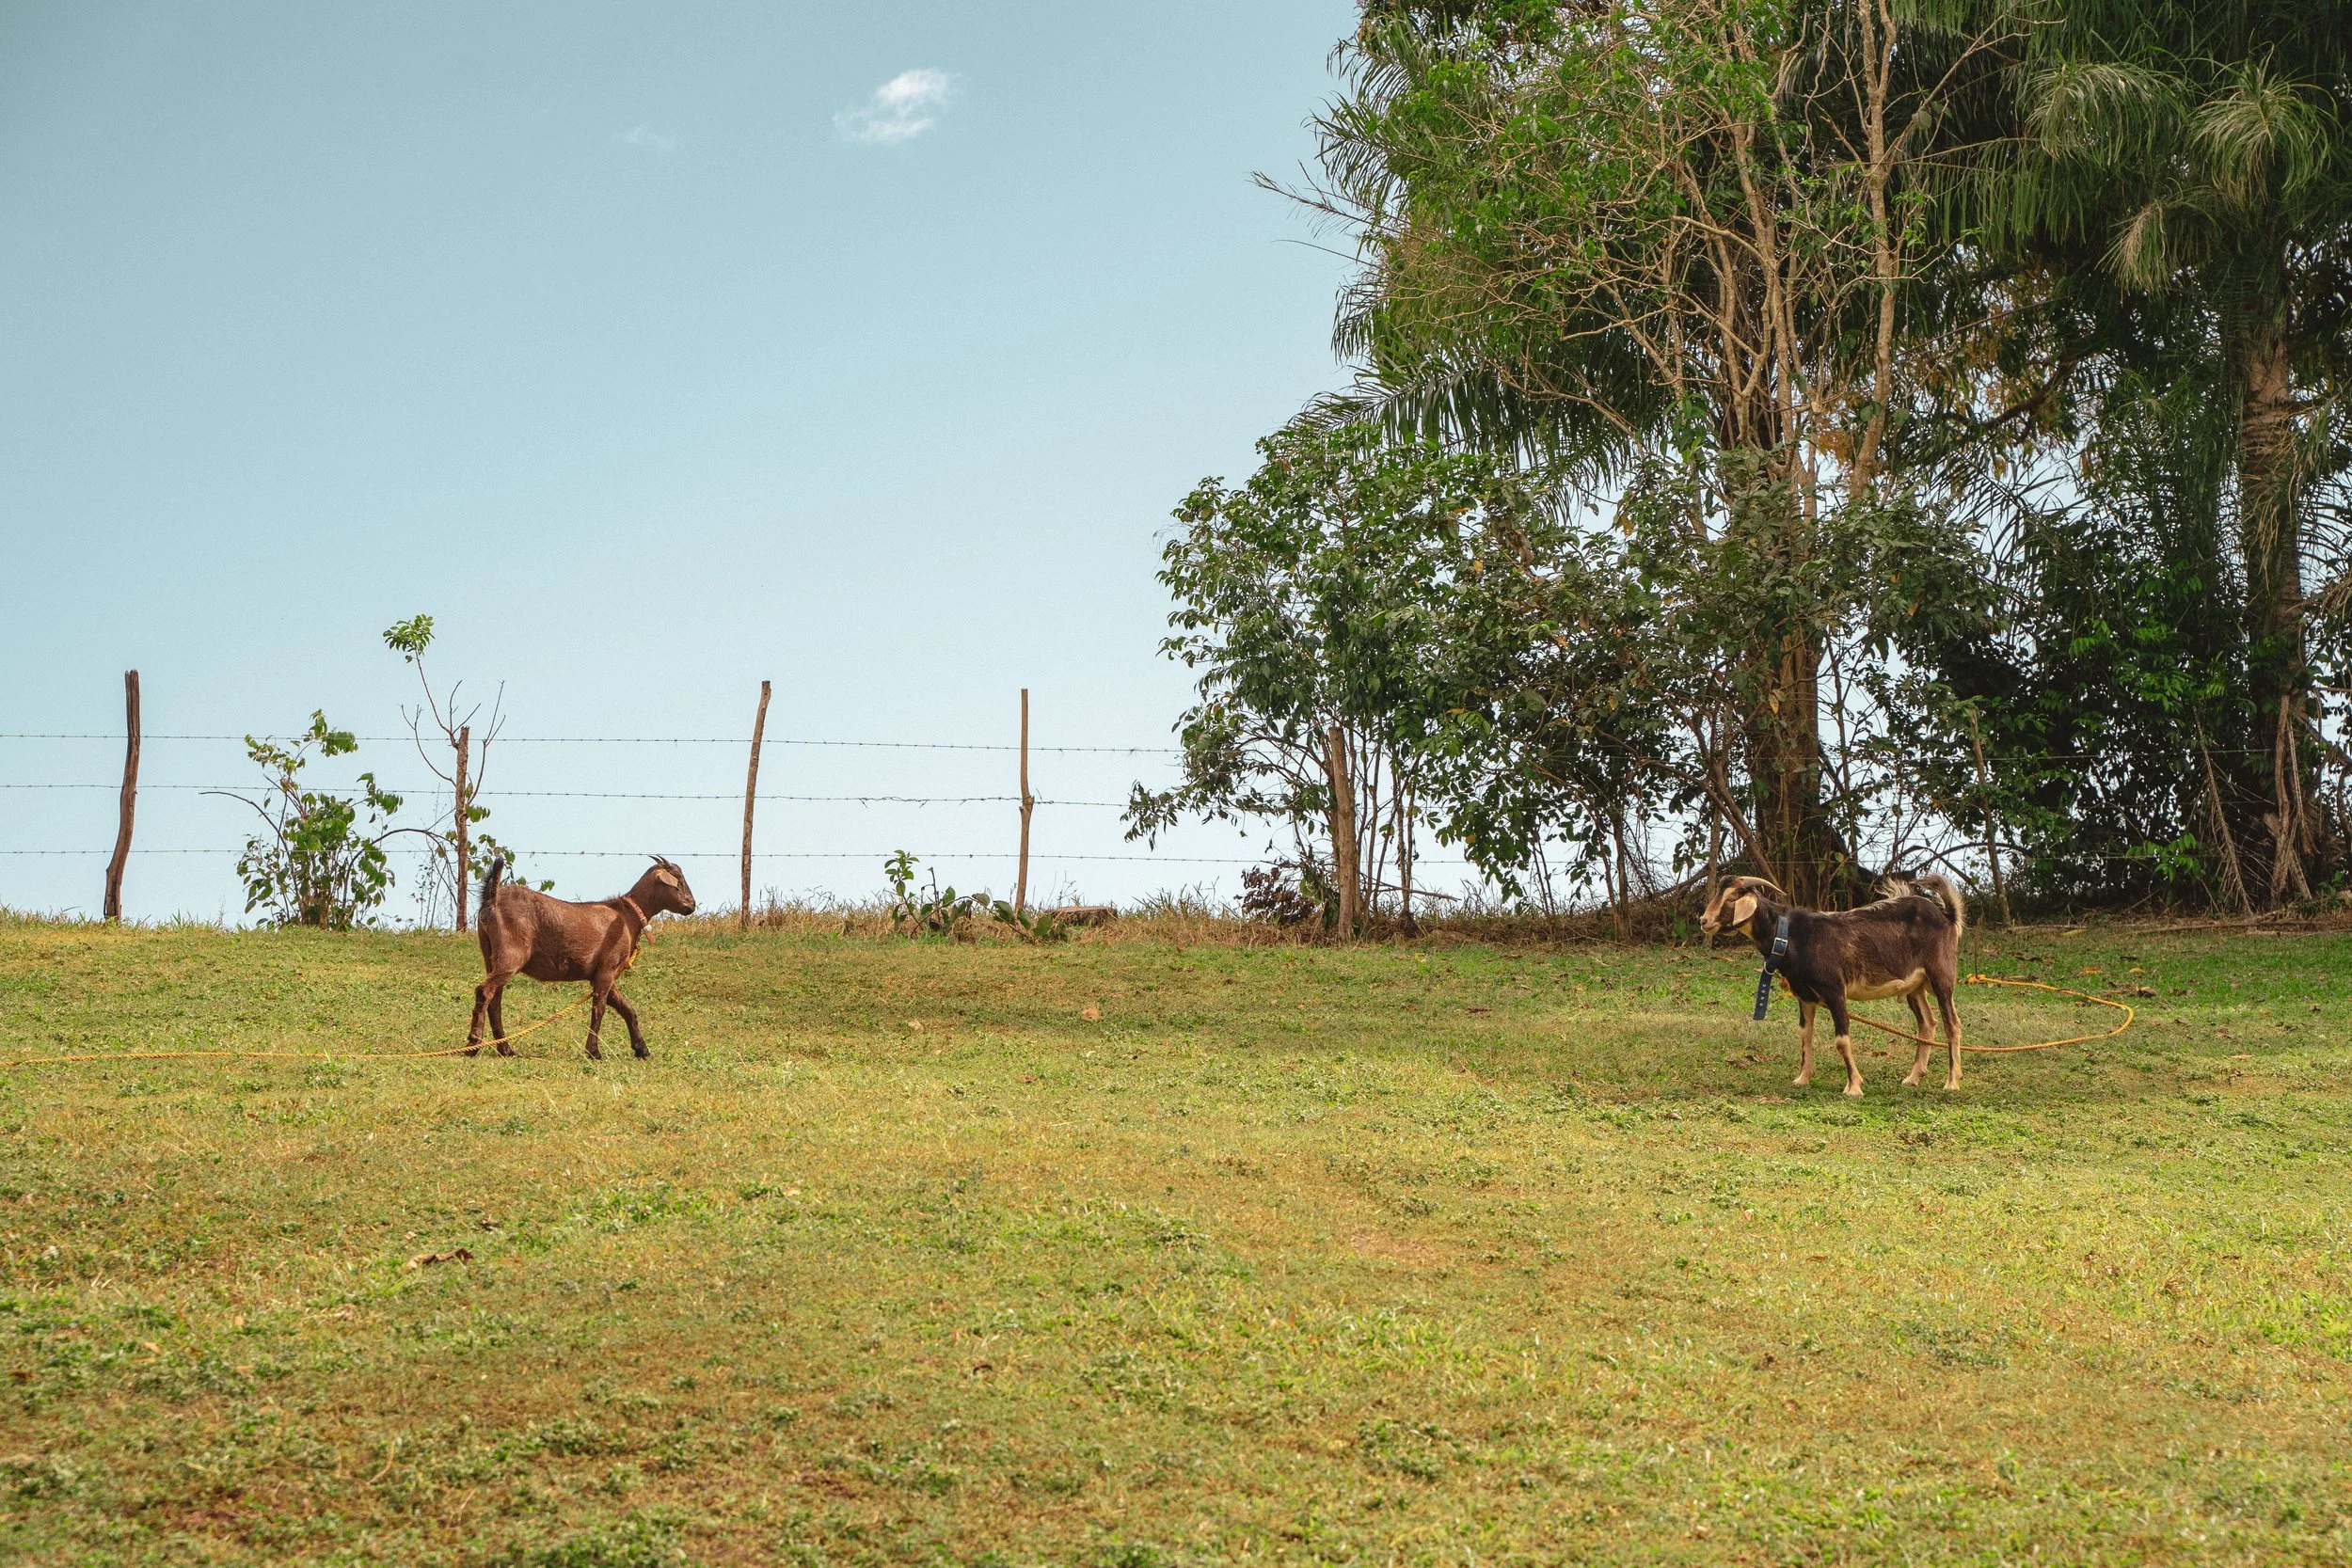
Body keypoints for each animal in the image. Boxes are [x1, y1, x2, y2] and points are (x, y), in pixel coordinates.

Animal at [466, 855, 696, 1060]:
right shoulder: (607, 970)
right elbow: (599, 1009)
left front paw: (642, 1050)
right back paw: (473, 1044)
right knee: (484, 992)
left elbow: (627, 1009)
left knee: (495, 1001)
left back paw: (505, 1049)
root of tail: (493, 898)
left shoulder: (604, 973)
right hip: (511, 955)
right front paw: (593, 1051)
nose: (691, 906)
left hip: (490, 955)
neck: (628, 915)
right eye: (679, 881)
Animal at [1700, 873, 1967, 1096]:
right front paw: (1803, 1078)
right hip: (1915, 986)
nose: (1704, 920)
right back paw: (1913, 1078)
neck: (1790, 936)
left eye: (1731, 898)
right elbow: (1805, 1034)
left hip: (1941, 974)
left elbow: (1841, 1039)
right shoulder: (1805, 996)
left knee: (1951, 1024)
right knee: (1927, 1023)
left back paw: (1952, 1082)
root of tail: (1947, 916)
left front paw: (1854, 1086)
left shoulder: (1835, 990)